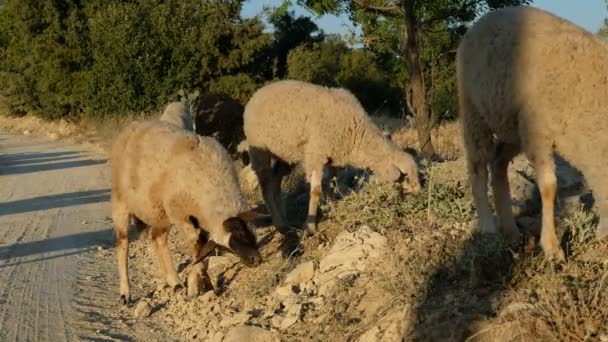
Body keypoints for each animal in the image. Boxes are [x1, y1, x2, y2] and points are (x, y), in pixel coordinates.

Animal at [111, 120, 262, 304]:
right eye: (234, 239)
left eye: (242, 231)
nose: (255, 260)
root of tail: (131, 126)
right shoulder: (182, 215)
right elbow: (196, 246)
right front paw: (200, 286)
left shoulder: (199, 218)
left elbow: (202, 248)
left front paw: (200, 284)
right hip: (121, 202)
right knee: (123, 243)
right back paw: (125, 292)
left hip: (160, 211)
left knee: (158, 240)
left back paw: (175, 283)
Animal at [242, 79, 422, 236]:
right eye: (405, 175)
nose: (417, 192)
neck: (357, 132)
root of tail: (257, 93)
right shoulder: (316, 154)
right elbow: (316, 191)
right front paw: (310, 227)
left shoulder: (335, 157)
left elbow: (332, 185)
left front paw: (333, 209)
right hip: (260, 151)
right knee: (266, 187)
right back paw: (279, 225)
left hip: (283, 156)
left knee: (275, 184)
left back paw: (284, 222)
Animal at [456, 5, 608, 262]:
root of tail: (481, 21)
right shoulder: (537, 132)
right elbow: (548, 186)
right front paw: (552, 247)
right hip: (474, 111)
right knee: (478, 167)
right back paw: (488, 228)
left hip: (512, 127)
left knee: (498, 164)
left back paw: (510, 231)